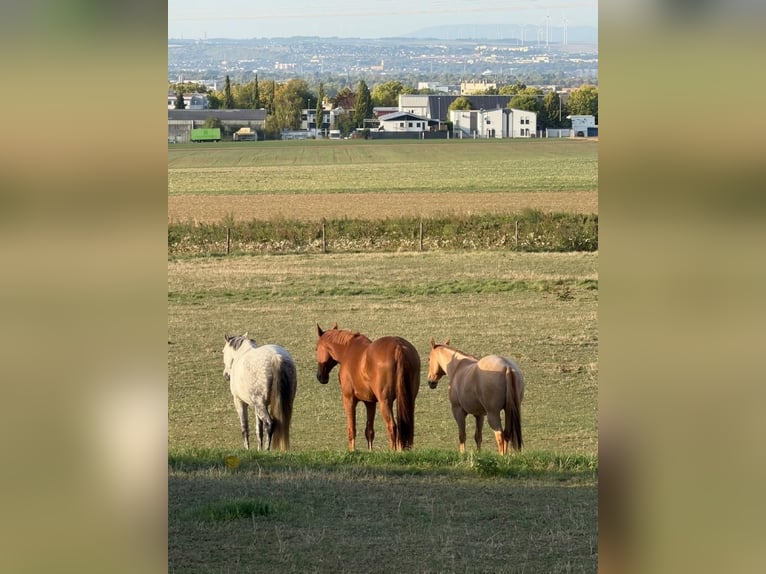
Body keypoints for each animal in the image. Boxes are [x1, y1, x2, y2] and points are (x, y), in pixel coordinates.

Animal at [315, 323, 420, 451]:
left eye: (316, 348)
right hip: (409, 400)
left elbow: (352, 429)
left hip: (385, 401)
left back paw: (392, 451)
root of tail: (398, 346)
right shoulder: (370, 402)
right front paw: (370, 451)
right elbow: (369, 431)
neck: (347, 350)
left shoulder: (349, 399)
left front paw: (352, 451)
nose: (320, 377)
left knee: (392, 426)